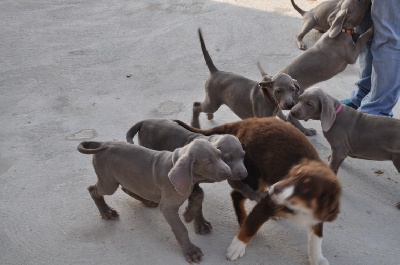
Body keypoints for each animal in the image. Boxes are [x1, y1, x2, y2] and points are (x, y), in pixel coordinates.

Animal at [77, 138, 231, 262]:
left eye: (219, 155)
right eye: (208, 162)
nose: (229, 172)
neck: (173, 162)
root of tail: (104, 143)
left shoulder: (189, 185)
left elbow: (199, 196)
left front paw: (194, 218)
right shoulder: (168, 207)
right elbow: (180, 229)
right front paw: (190, 251)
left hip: (127, 178)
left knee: (127, 188)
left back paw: (147, 201)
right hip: (109, 183)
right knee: (93, 189)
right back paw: (106, 211)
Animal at [175, 118, 340, 264]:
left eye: (305, 189)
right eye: (290, 175)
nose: (273, 189)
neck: (301, 207)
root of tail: (248, 121)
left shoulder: (318, 213)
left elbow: (316, 237)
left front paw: (317, 258)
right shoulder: (267, 203)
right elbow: (251, 226)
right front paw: (236, 248)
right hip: (253, 173)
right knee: (237, 195)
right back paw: (243, 219)